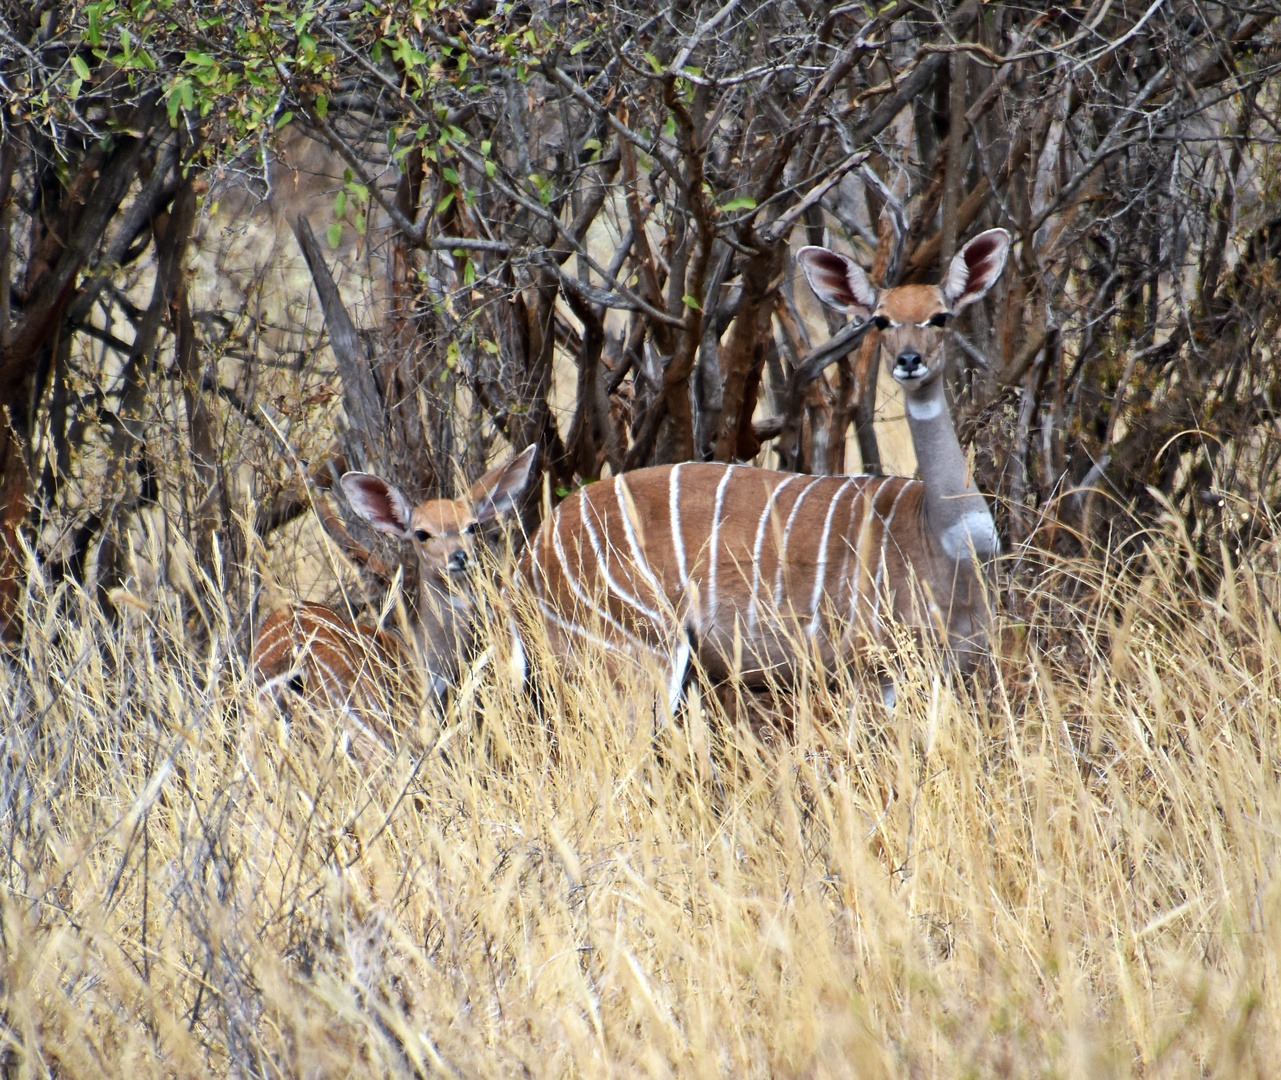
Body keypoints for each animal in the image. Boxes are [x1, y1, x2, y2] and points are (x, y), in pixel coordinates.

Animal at [512, 229, 1009, 707]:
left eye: (940, 316)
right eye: (880, 320)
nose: (908, 361)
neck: (946, 539)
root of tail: (529, 559)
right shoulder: (869, 669)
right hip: (641, 650)